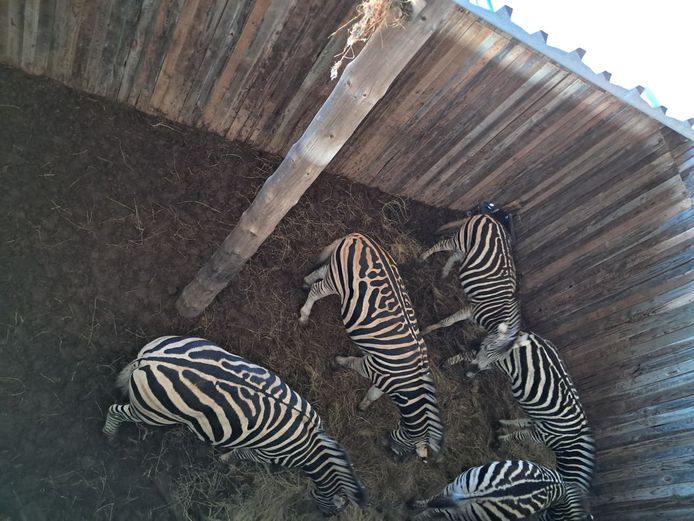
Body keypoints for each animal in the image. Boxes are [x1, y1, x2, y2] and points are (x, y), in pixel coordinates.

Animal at [102, 336, 368, 516]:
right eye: (335, 512)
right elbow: (240, 454)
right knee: (115, 411)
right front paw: (225, 460)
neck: (310, 448)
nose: (320, 515)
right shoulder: (264, 453)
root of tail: (151, 359)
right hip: (154, 412)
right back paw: (109, 436)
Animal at [299, 233, 444, 462]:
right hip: (336, 282)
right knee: (317, 291)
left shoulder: (384, 380)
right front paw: (336, 363)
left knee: (320, 273)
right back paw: (304, 315)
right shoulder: (369, 367)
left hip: (335, 272)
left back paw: (305, 282)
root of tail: (359, 236)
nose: (392, 458)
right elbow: (351, 362)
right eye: (408, 448)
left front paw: (362, 408)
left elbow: (373, 395)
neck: (406, 383)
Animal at [420, 207, 521, 373]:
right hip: (460, 240)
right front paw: (427, 330)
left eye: (497, 361)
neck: (495, 314)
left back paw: (444, 274)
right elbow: (447, 322)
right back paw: (422, 257)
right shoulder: (471, 309)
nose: (473, 371)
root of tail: (491, 217)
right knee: (443, 245)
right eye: (487, 349)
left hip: (466, 250)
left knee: (454, 255)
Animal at [467, 331, 595, 494]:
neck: (569, 442)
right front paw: (499, 441)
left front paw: (500, 431)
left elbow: (520, 428)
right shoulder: (542, 435)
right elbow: (519, 435)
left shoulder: (539, 427)